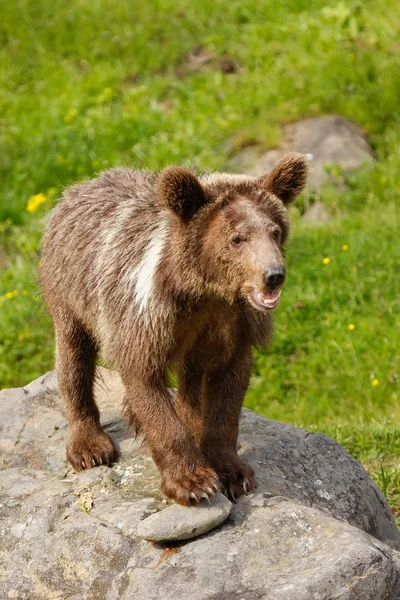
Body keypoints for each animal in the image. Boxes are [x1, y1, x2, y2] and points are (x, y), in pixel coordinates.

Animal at [39, 154, 306, 506]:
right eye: (237, 238)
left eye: (275, 231)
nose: (273, 275)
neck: (205, 294)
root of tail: (79, 187)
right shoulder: (143, 321)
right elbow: (146, 384)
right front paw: (193, 483)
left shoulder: (233, 326)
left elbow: (226, 396)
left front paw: (233, 473)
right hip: (70, 291)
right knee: (74, 357)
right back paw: (89, 445)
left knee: (190, 379)